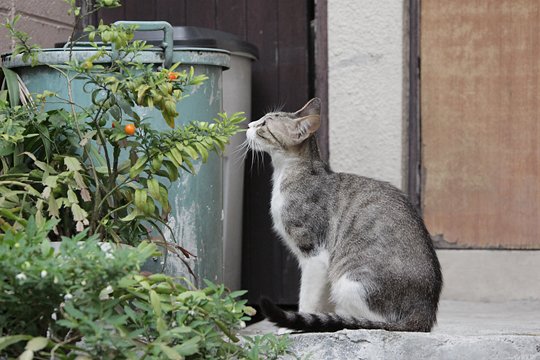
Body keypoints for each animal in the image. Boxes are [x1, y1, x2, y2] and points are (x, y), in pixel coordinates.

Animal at [247, 97, 440, 332]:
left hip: (348, 282)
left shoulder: (314, 254)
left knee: (373, 321)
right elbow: (320, 301)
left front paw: (295, 323)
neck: (288, 173)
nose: (249, 125)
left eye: (264, 125)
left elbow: (307, 297)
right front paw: (316, 318)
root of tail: (425, 314)